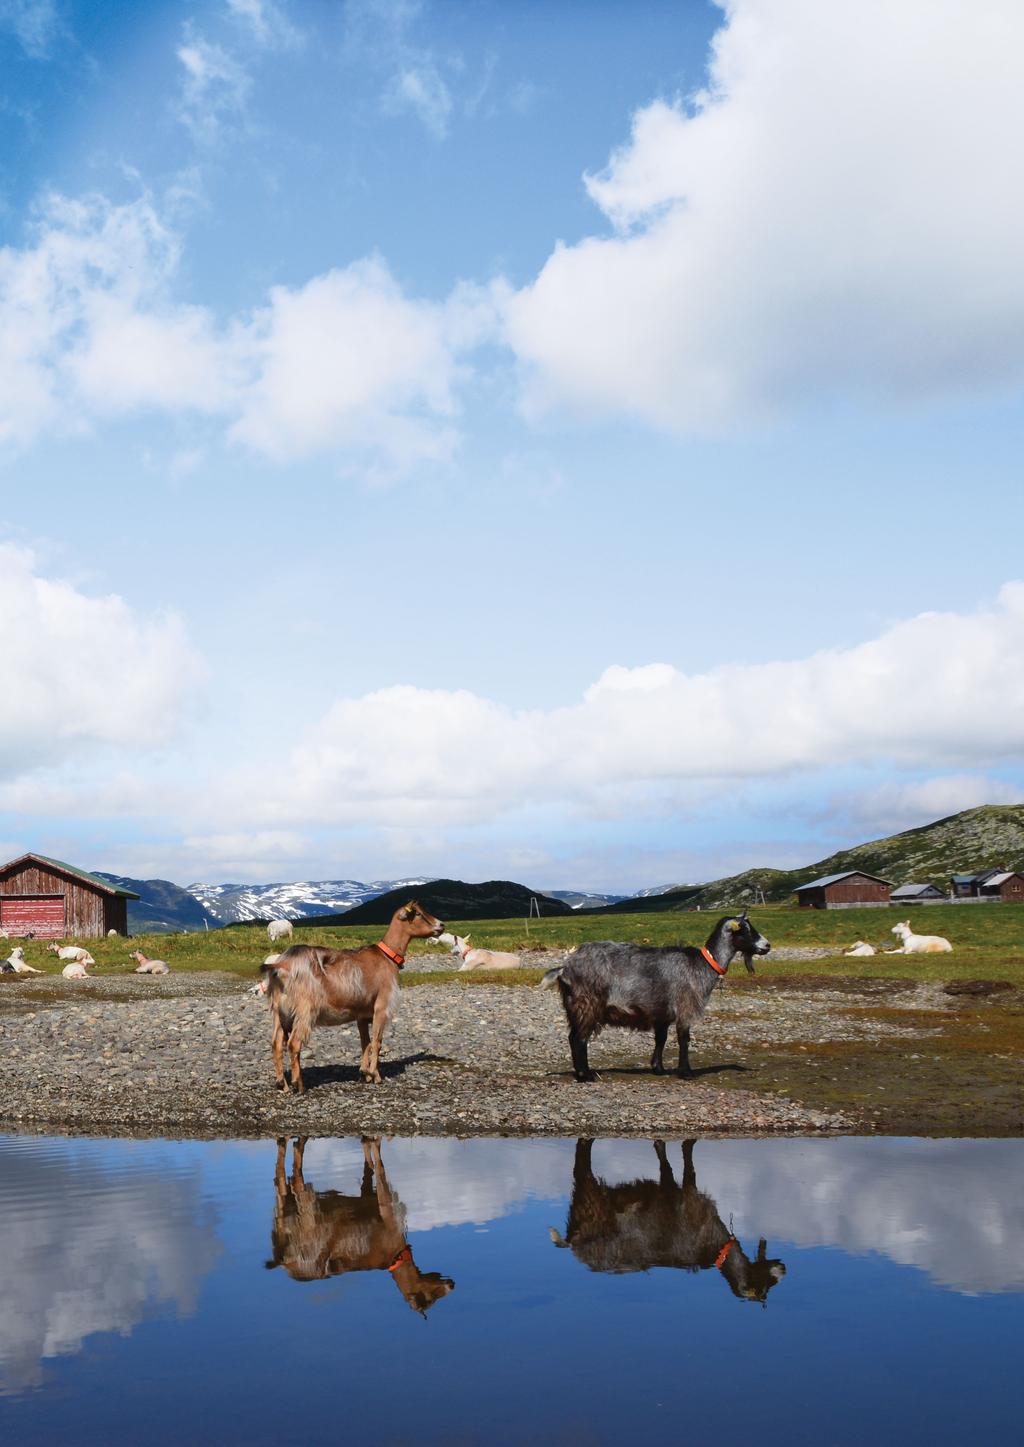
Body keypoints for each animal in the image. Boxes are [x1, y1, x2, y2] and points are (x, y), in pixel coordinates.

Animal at [257, 897, 442, 1088]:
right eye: (418, 913)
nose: (441, 925)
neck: (387, 957)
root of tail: (280, 965)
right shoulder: (381, 1006)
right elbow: (377, 1042)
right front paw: (375, 1075)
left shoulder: (362, 1014)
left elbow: (365, 1043)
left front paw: (364, 1073)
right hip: (303, 1010)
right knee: (294, 1044)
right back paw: (298, 1084)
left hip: (279, 1012)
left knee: (276, 1044)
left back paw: (283, 1084)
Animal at [266, 1134, 454, 1319]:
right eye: (431, 1297)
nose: (451, 1284)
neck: (396, 1256)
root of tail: (286, 1262)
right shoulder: (387, 1210)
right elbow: (379, 1165)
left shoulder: (368, 1191)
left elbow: (368, 1163)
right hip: (310, 1219)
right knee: (296, 1172)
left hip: (285, 1216)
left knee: (281, 1174)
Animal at [543, 908, 769, 1082]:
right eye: (746, 931)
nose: (767, 945)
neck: (703, 964)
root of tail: (565, 968)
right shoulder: (684, 1006)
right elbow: (684, 1038)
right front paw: (686, 1072)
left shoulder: (662, 1012)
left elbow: (661, 1038)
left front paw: (658, 1068)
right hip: (587, 1003)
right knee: (579, 1038)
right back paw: (586, 1075)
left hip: (574, 1005)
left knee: (573, 1037)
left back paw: (580, 1073)